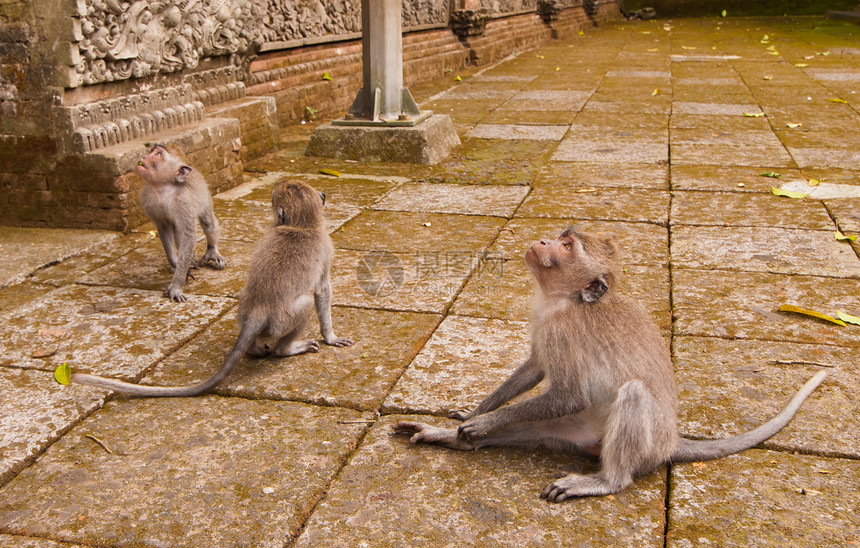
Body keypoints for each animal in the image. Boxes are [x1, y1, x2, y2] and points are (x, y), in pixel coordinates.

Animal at [71, 180, 352, 398]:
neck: (301, 224)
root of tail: (259, 310)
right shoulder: (326, 249)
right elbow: (322, 291)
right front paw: (330, 336)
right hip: (283, 320)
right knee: (305, 303)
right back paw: (286, 349)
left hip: (250, 311)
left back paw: (254, 347)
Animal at [137, 143, 227, 302]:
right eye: (152, 151)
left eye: (158, 154)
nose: (143, 157)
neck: (163, 189)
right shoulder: (150, 199)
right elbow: (164, 229)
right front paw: (176, 263)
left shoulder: (183, 202)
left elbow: (188, 235)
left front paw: (176, 285)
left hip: (206, 199)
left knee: (208, 223)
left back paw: (211, 250)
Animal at [394, 227, 828, 500]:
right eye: (560, 238)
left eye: (567, 246)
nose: (544, 239)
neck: (564, 301)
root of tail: (671, 442)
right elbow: (534, 369)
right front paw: (472, 416)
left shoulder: (565, 331)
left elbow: (569, 395)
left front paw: (481, 422)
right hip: (570, 433)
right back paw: (451, 439)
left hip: (645, 446)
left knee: (633, 396)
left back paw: (606, 481)